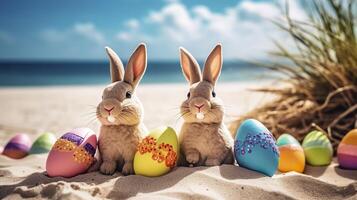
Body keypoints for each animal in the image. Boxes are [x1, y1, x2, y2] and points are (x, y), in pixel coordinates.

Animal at [95, 43, 147, 174]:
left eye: (128, 95)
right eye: (102, 96)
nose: (108, 107)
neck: (117, 125)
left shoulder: (131, 152)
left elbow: (129, 162)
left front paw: (128, 171)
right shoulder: (107, 151)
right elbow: (109, 161)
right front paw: (106, 170)